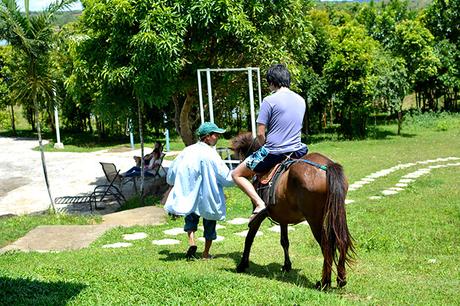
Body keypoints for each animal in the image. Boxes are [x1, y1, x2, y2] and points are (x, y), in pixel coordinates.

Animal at [232, 133, 354, 290]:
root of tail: (327, 166)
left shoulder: (258, 214)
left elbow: (249, 237)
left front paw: (242, 264)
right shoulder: (283, 217)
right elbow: (284, 241)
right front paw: (287, 265)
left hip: (315, 219)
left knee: (327, 246)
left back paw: (325, 282)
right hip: (337, 213)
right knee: (341, 240)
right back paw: (341, 279)